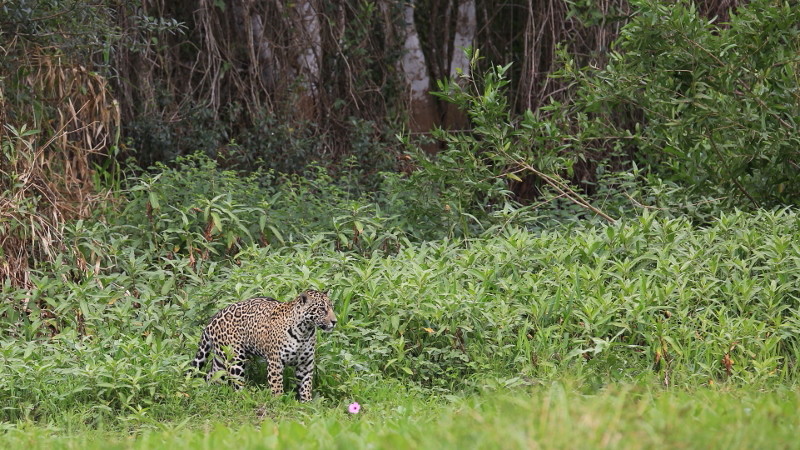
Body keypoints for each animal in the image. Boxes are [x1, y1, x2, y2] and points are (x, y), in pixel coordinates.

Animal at [190, 289, 336, 402]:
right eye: (322, 309)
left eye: (331, 307)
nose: (335, 321)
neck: (304, 331)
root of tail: (212, 320)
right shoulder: (275, 362)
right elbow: (277, 385)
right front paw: (278, 403)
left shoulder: (306, 364)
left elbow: (306, 385)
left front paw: (307, 405)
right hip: (235, 359)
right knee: (236, 384)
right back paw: (244, 398)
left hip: (221, 360)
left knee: (211, 376)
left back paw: (205, 391)